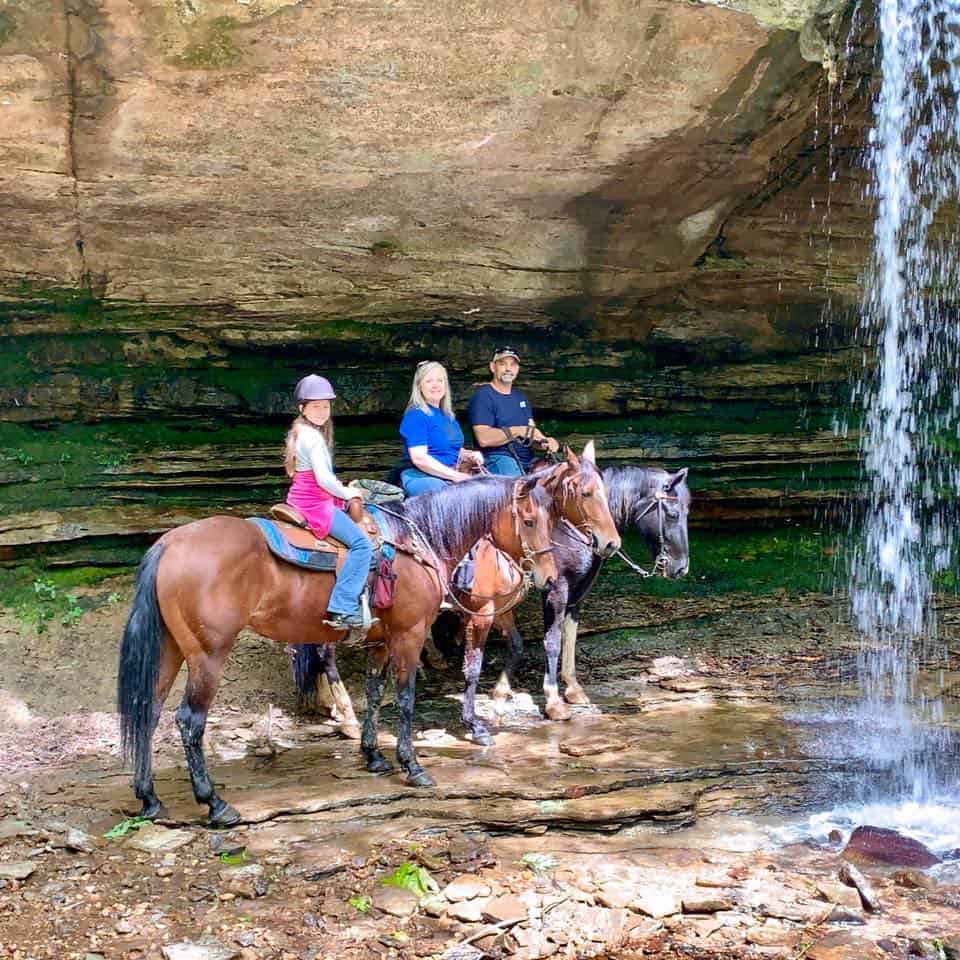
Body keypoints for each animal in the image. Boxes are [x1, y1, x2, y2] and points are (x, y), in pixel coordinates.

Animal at [116, 472, 560, 824]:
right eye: (529, 521)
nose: (551, 577)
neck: (418, 541)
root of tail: (171, 544)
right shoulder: (410, 634)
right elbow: (405, 699)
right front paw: (413, 766)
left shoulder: (381, 639)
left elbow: (375, 693)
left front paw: (374, 755)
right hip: (208, 655)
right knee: (190, 720)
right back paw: (216, 804)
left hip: (172, 648)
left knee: (148, 711)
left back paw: (150, 799)